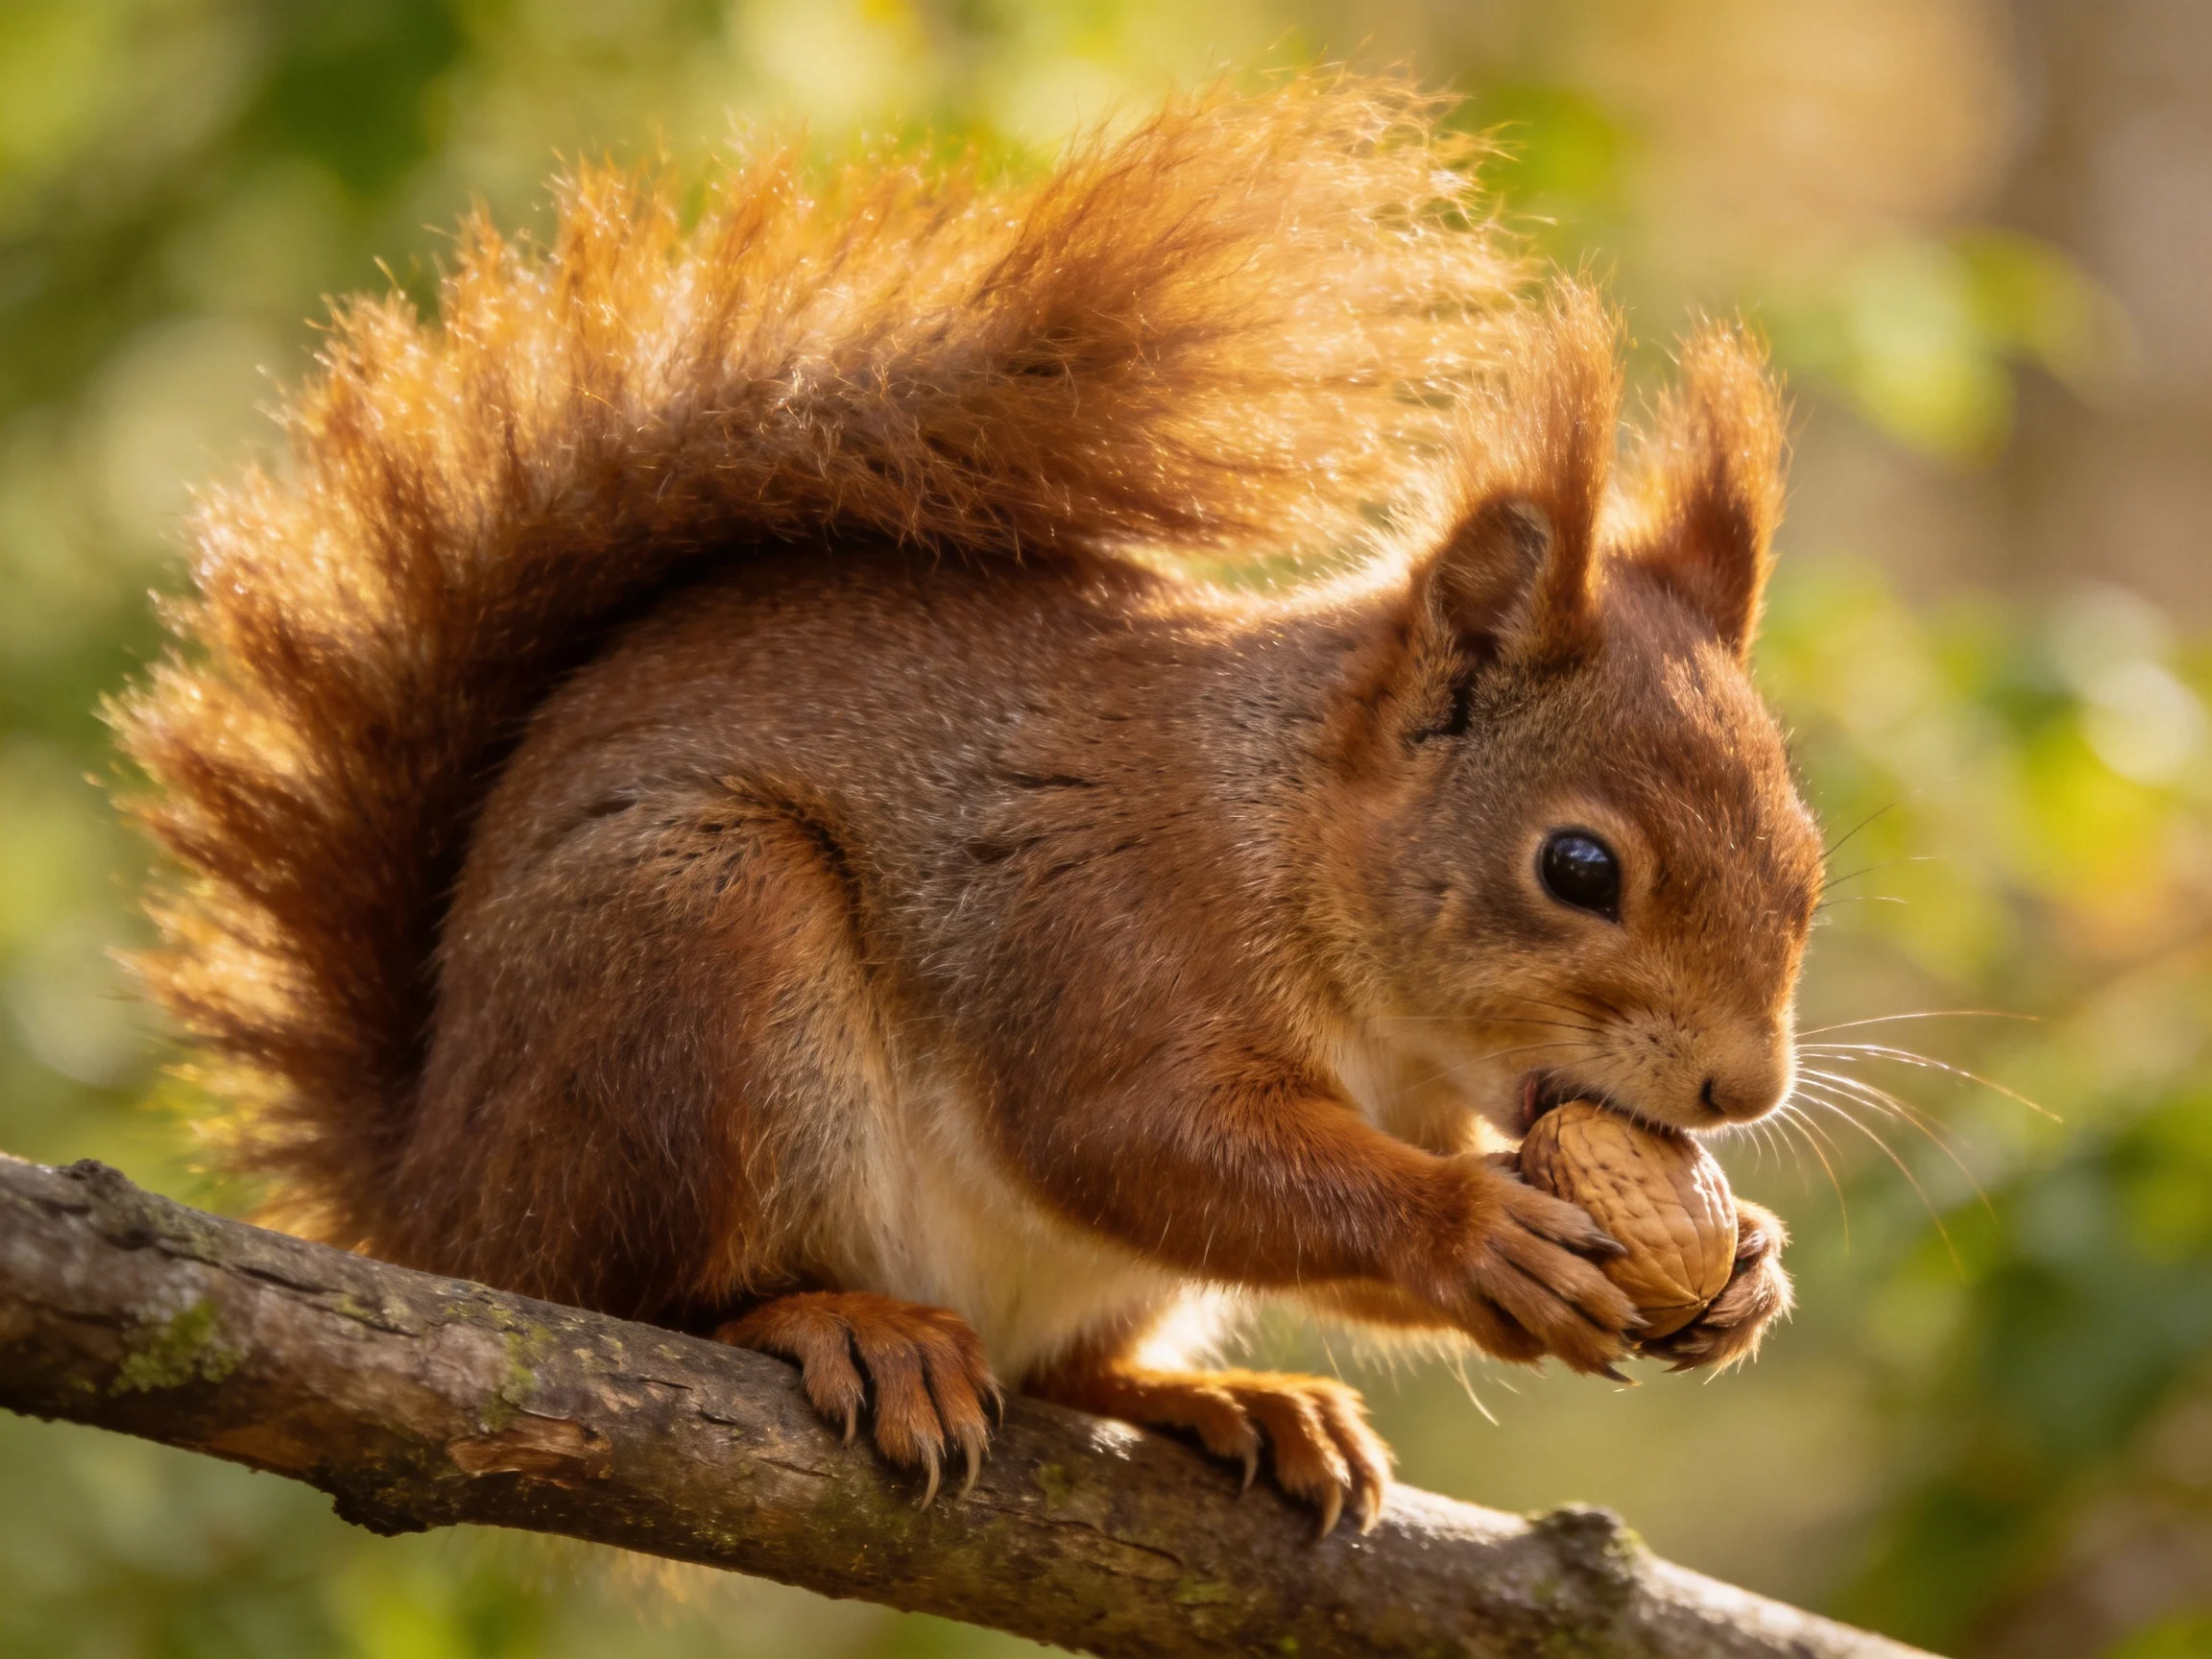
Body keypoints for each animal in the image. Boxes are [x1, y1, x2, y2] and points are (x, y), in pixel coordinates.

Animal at [116, 78, 1818, 1535]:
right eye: (1579, 866)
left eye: (1808, 863)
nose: (1743, 1091)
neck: (1289, 836)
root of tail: (436, 1198)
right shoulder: (1103, 914)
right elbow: (1130, 1134)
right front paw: (1473, 1230)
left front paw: (1747, 1270)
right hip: (692, 941)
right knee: (643, 1295)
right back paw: (841, 1322)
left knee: (1070, 1364)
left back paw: (1230, 1400)